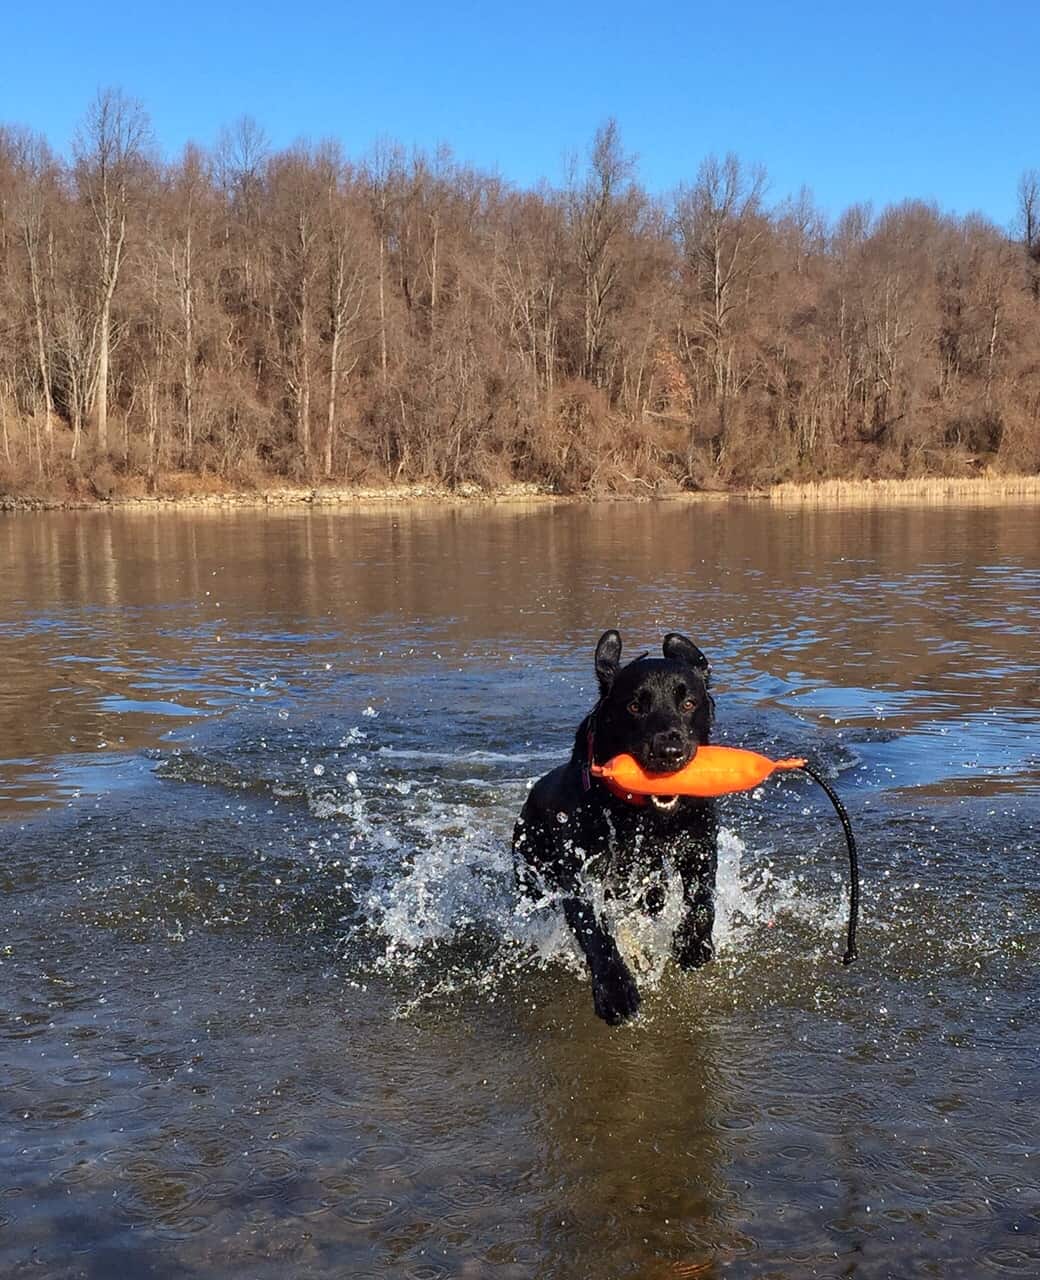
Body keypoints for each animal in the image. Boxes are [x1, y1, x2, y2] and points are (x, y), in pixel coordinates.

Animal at [509, 634, 717, 1024]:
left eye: (689, 702)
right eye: (635, 706)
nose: (669, 750)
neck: (641, 815)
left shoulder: (699, 844)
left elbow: (702, 898)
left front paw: (693, 944)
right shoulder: (577, 872)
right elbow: (595, 930)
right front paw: (615, 990)